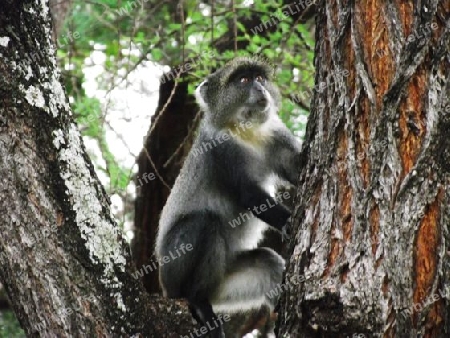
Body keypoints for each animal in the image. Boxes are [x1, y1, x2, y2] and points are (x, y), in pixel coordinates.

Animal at [156, 56, 302, 336]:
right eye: (243, 80)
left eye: (259, 78)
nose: (261, 88)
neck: (247, 130)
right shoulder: (221, 148)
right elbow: (250, 196)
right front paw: (288, 222)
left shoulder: (275, 132)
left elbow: (297, 167)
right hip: (172, 271)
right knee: (205, 222)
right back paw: (198, 302)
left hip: (227, 283)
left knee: (267, 263)